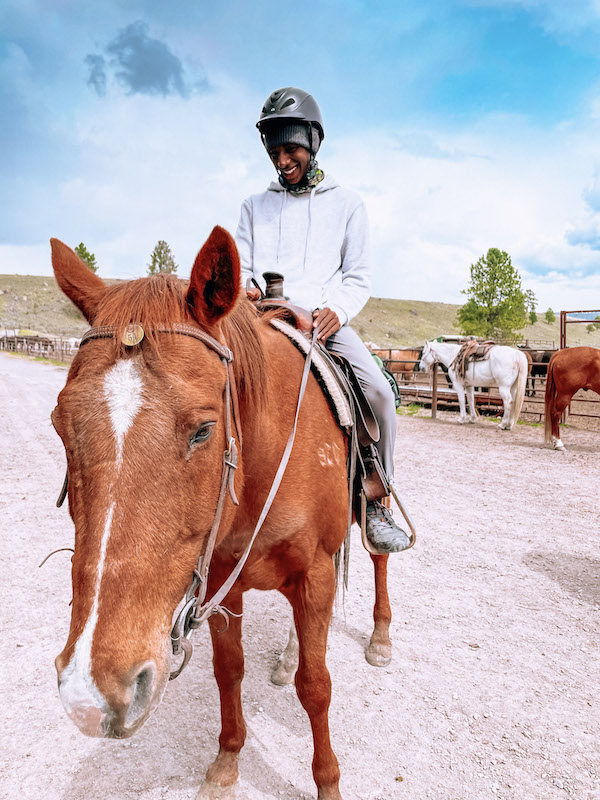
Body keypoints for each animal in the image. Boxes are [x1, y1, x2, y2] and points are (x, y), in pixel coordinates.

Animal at [49, 228, 396, 796]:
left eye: (204, 429)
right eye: (60, 423)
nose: (89, 696)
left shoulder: (315, 571)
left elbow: (316, 685)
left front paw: (327, 781)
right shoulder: (218, 584)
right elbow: (228, 671)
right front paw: (227, 760)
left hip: (369, 510)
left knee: (378, 557)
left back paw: (381, 636)